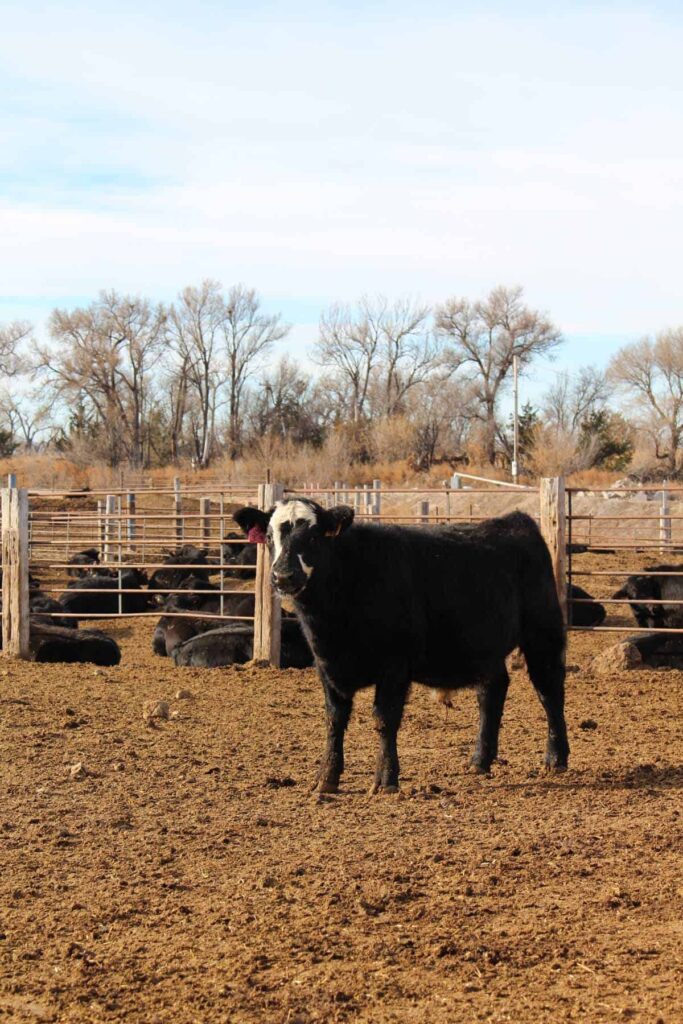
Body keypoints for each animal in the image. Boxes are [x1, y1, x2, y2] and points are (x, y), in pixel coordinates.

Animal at [235, 499, 573, 794]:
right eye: (269, 536)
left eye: (315, 536)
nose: (283, 576)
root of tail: (516, 520)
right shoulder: (326, 665)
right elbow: (334, 719)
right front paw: (326, 779)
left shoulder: (394, 665)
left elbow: (385, 719)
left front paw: (386, 781)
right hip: (484, 649)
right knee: (492, 691)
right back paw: (480, 761)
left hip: (542, 632)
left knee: (549, 689)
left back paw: (555, 758)